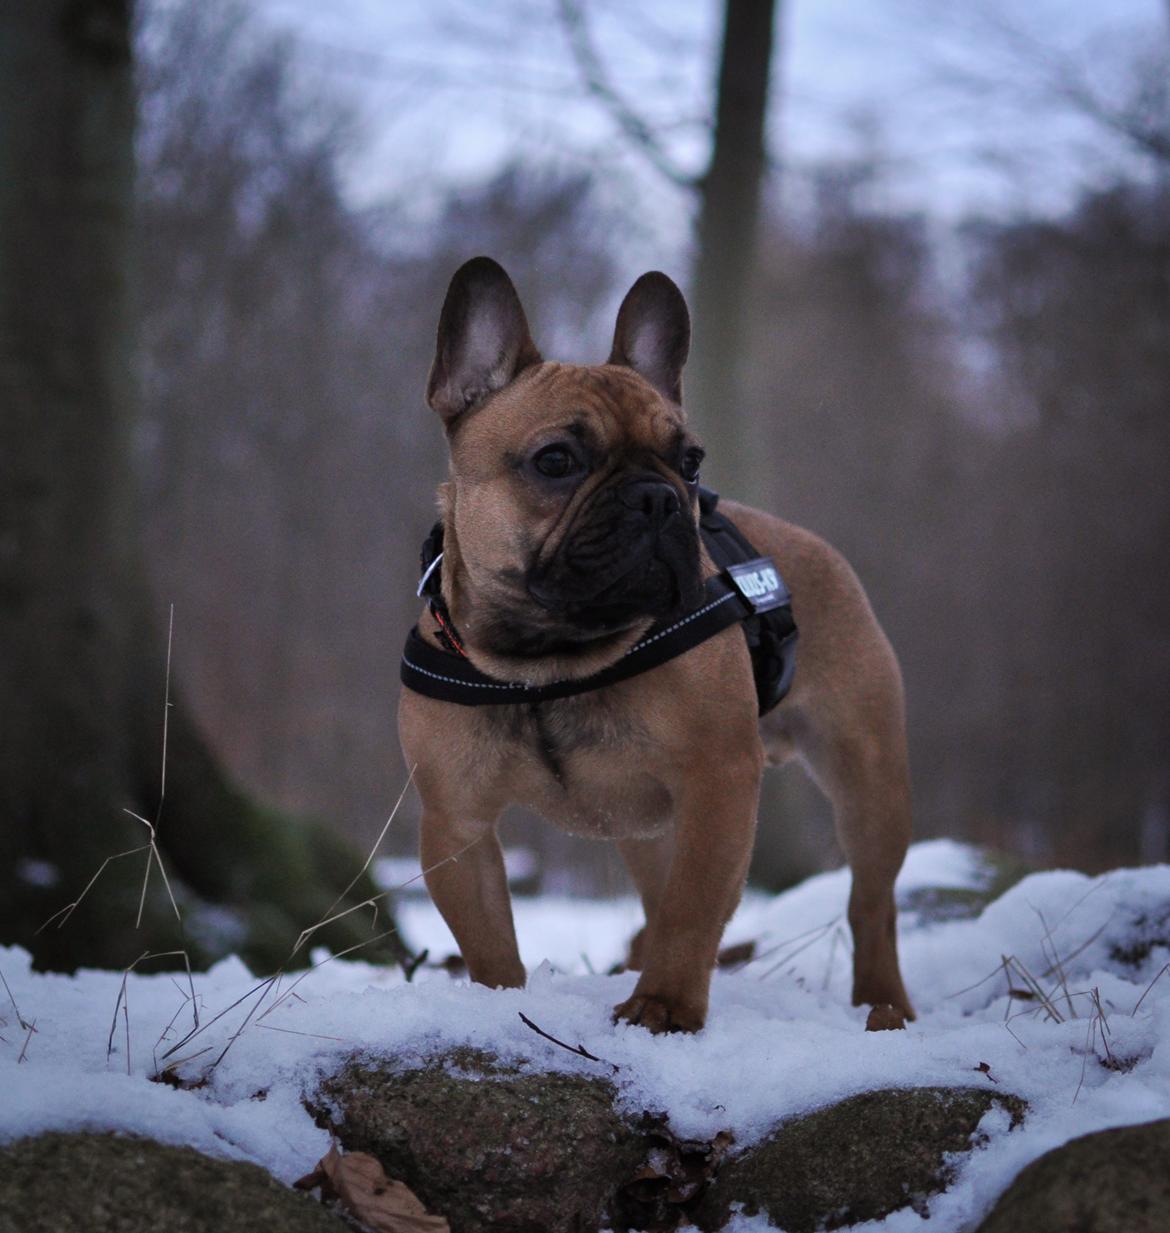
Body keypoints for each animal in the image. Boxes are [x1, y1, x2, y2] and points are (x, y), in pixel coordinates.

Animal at [396, 252, 917, 1030]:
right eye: (556, 461)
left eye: (691, 460)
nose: (661, 497)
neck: (551, 657)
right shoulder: (456, 820)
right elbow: (487, 937)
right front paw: (504, 1006)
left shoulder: (718, 782)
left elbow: (692, 908)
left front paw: (664, 1008)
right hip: (647, 828)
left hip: (867, 774)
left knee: (871, 903)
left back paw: (884, 1009)